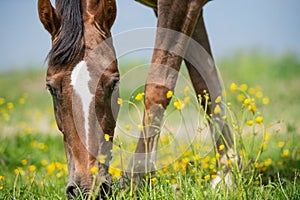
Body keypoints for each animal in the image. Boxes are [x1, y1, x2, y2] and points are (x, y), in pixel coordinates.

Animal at [37, 0, 236, 198]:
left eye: (114, 83)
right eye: (51, 88)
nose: (87, 189)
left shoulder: (181, 4)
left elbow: (159, 86)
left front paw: (134, 182)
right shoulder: (192, 11)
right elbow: (206, 85)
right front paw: (227, 175)